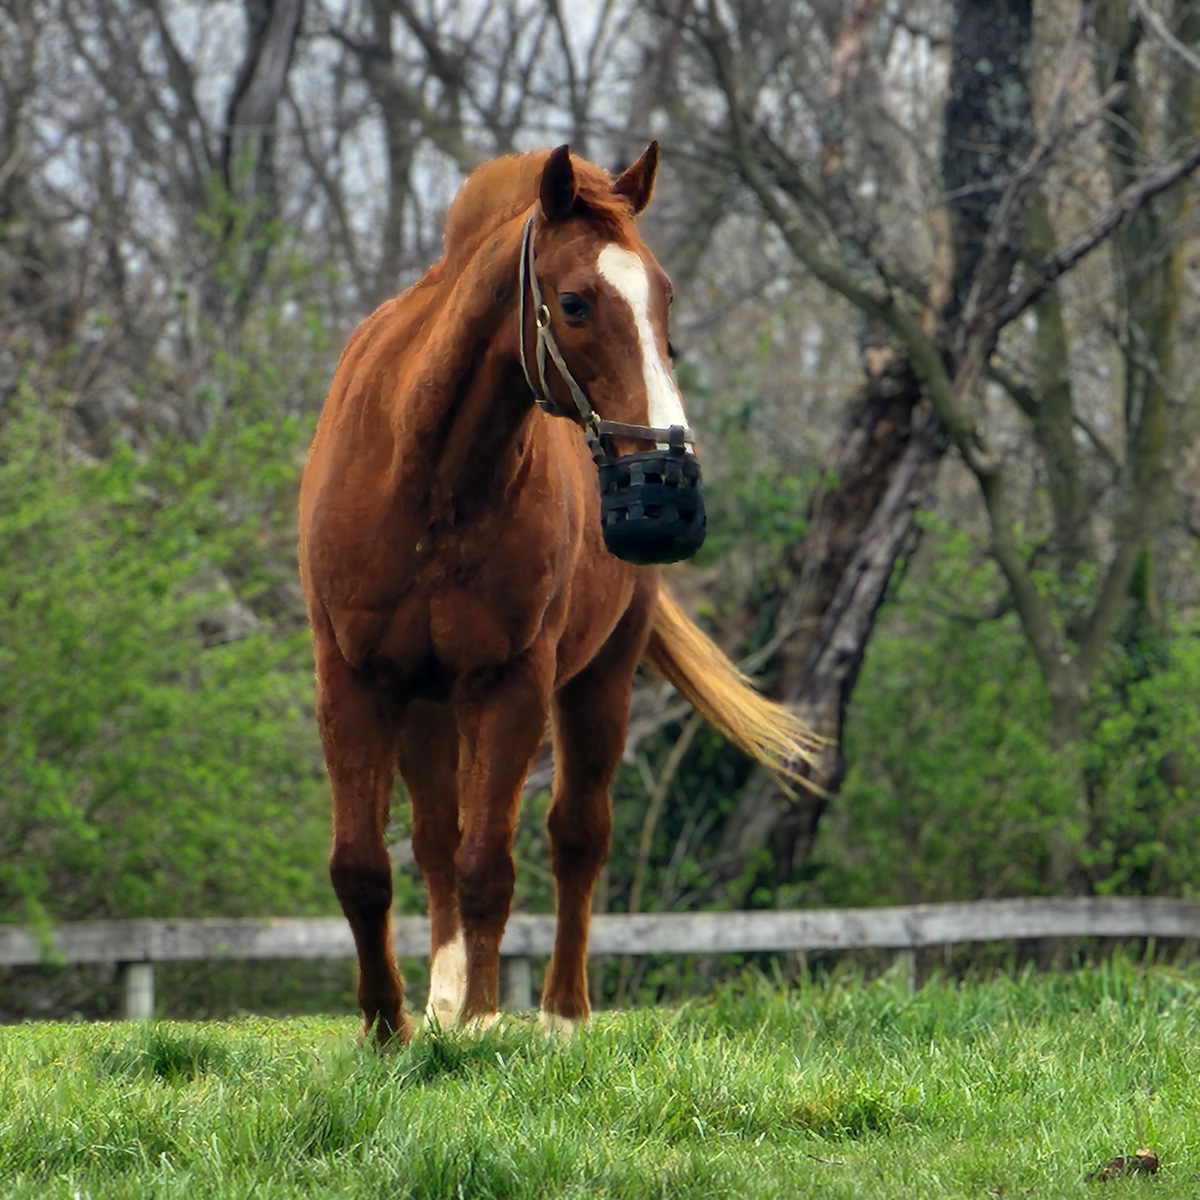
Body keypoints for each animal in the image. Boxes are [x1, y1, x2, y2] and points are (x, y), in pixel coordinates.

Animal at [298, 142, 818, 1045]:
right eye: (573, 303)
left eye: (665, 297)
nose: (670, 490)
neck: (429, 483)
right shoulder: (354, 680)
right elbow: (364, 864)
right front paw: (388, 1027)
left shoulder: (512, 683)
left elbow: (491, 864)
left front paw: (480, 1023)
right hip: (426, 706)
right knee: (433, 839)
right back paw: (437, 1001)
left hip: (598, 684)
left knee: (577, 836)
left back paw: (559, 1014)